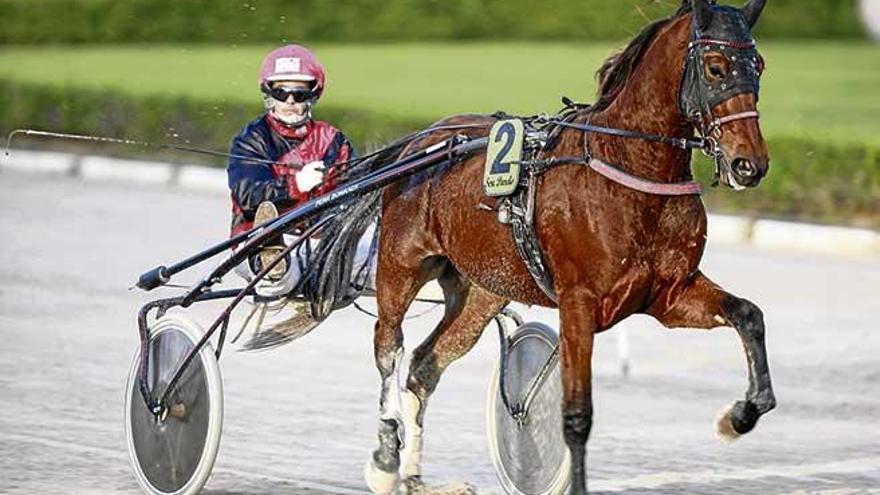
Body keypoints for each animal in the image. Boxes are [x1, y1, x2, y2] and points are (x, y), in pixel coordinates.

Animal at [364, 1, 776, 494]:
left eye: (759, 66)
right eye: (716, 67)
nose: (750, 164)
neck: (629, 170)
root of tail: (422, 140)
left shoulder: (670, 295)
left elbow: (748, 314)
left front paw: (740, 415)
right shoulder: (578, 303)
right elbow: (577, 414)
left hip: (480, 289)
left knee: (425, 364)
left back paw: (414, 477)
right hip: (401, 265)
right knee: (388, 346)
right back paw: (387, 456)